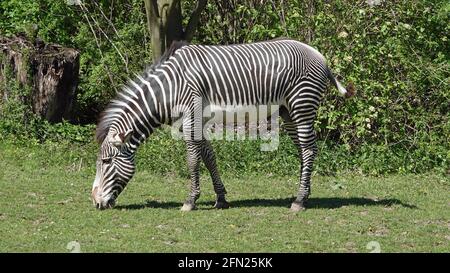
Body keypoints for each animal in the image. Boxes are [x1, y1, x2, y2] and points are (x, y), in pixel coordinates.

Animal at [91, 37, 356, 210]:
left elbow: (192, 160)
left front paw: (190, 201)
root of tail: (319, 55)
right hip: (288, 111)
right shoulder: (196, 121)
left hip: (302, 105)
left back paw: (300, 200)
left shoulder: (191, 117)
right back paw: (304, 194)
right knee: (303, 149)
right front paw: (221, 198)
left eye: (105, 162)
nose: (95, 203)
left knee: (309, 149)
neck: (169, 89)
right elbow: (209, 157)